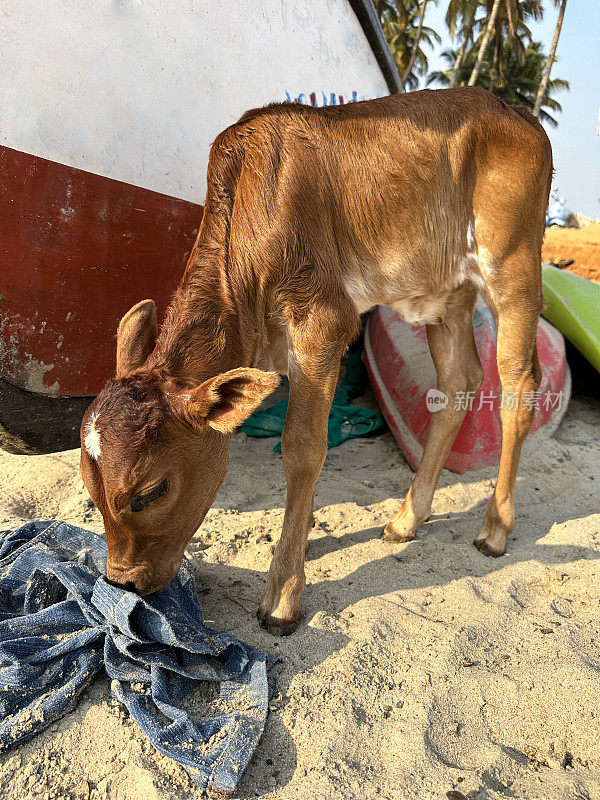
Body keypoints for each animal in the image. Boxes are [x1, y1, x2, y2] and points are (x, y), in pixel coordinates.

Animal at [79, 87, 552, 636]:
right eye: (91, 492)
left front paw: (283, 592)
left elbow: (302, 448)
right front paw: (301, 533)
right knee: (458, 383)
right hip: (446, 294)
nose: (122, 582)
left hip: (515, 267)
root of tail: (511, 109)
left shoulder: (323, 321)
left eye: (151, 491)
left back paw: (495, 527)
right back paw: (407, 519)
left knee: (519, 385)